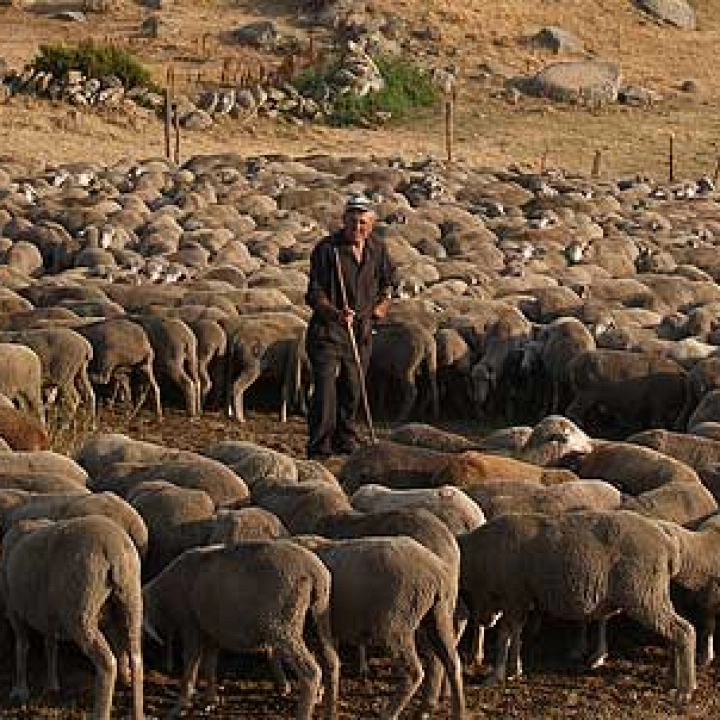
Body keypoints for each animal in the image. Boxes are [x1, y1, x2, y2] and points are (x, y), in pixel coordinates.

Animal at [0, 516, 143, 720]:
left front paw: (20, 691)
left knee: (107, 663)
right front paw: (52, 686)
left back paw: (100, 714)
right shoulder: (47, 612)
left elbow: (22, 645)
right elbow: (50, 645)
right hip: (130, 598)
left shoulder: (13, 607)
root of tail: (114, 548)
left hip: (81, 607)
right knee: (136, 657)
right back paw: (138, 712)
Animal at [145, 540, 342, 720]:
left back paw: (304, 712)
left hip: (284, 621)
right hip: (317, 615)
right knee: (331, 660)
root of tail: (315, 572)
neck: (164, 598)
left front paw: (180, 706)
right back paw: (330, 712)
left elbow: (191, 662)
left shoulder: (191, 622)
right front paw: (210, 700)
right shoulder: (211, 628)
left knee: (310, 672)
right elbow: (210, 662)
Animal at [456, 512, 696, 704]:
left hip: (643, 592)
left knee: (684, 631)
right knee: (673, 634)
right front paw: (514, 669)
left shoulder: (514, 594)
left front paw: (496, 675)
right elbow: (515, 633)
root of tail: (668, 544)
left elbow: (504, 635)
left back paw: (685, 690)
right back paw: (672, 680)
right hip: (656, 592)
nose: (484, 621)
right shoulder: (520, 598)